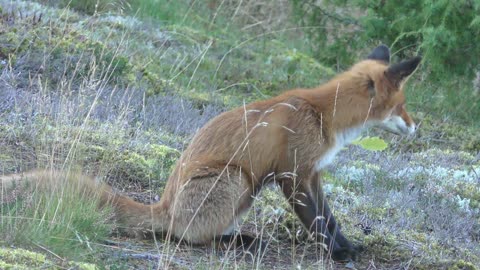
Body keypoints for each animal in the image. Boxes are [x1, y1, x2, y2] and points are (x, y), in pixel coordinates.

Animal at [0, 45, 420, 260]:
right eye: (402, 105)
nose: (417, 127)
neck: (321, 114)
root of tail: (164, 206)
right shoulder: (293, 174)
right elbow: (318, 221)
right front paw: (341, 254)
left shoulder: (311, 172)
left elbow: (329, 219)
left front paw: (346, 247)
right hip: (236, 180)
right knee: (187, 237)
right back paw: (233, 244)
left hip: (246, 192)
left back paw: (242, 238)